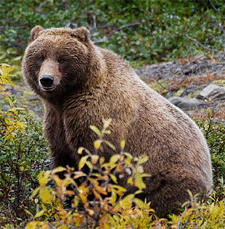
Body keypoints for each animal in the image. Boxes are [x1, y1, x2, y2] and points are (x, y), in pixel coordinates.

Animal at [22, 25, 213, 216]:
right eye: (40, 57)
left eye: (62, 58)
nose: (47, 80)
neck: (67, 98)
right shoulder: (57, 122)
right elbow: (63, 163)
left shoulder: (97, 117)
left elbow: (96, 163)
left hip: (164, 175)